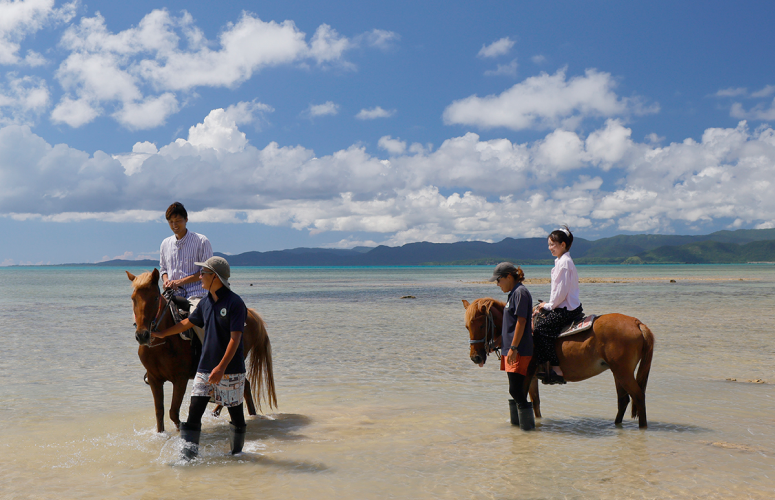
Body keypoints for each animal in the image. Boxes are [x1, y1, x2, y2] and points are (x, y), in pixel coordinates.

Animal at [127, 269, 277, 433]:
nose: (142, 335)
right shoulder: (155, 379)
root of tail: (251, 314)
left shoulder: (180, 379)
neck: (162, 344)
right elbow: (159, 412)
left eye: (155, 298)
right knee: (245, 386)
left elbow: (173, 412)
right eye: (133, 298)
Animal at [462, 298, 654, 428]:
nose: (475, 357)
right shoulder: (533, 377)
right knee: (623, 400)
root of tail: (637, 323)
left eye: (481, 325)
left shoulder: (526, 373)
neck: (520, 331)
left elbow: (521, 399)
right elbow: (535, 403)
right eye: (467, 327)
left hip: (623, 372)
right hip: (617, 372)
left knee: (638, 396)